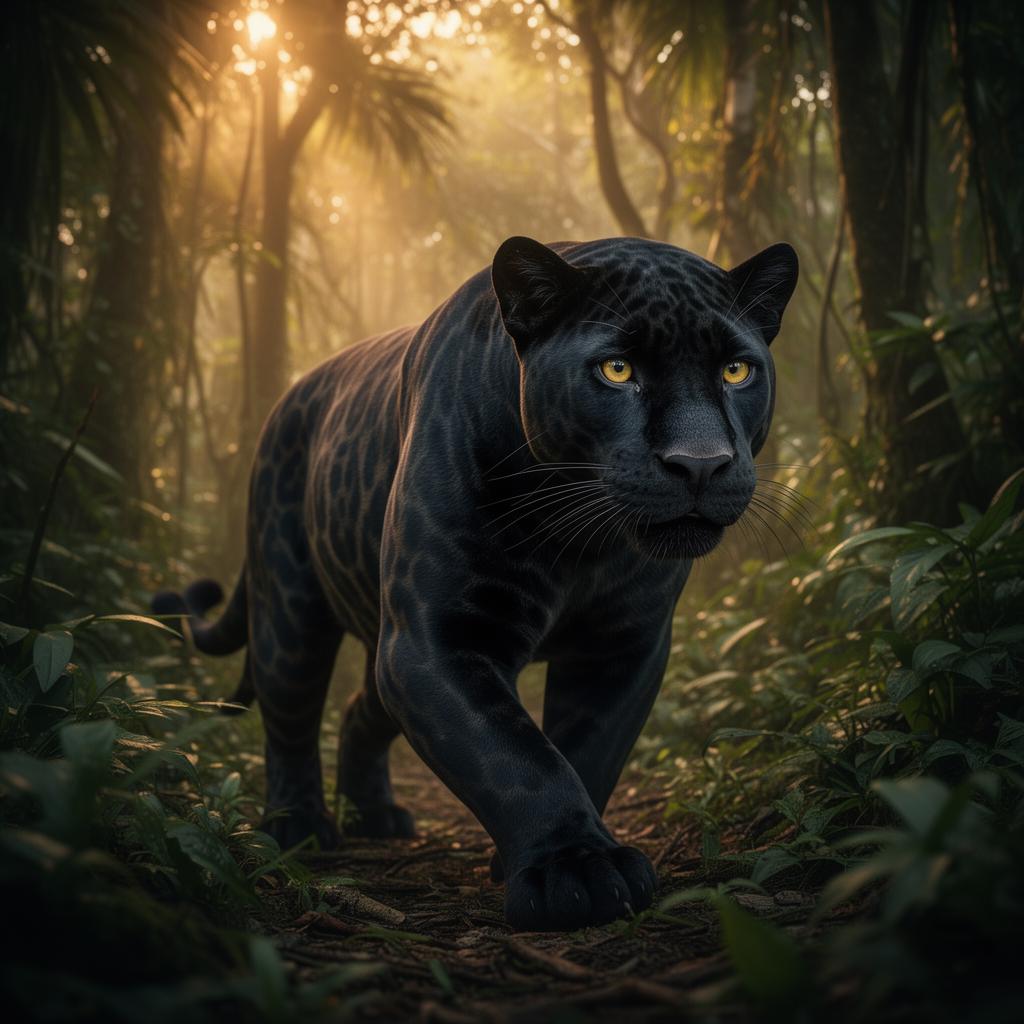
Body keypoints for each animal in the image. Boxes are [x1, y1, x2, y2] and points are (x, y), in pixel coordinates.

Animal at [153, 235, 798, 931]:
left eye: (736, 371)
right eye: (617, 369)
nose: (700, 464)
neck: (578, 542)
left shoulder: (624, 647)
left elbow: (587, 749)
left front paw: (562, 855)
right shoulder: (434, 640)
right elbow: (517, 756)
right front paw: (576, 870)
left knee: (358, 711)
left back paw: (377, 816)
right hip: (292, 614)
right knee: (291, 717)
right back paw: (298, 827)